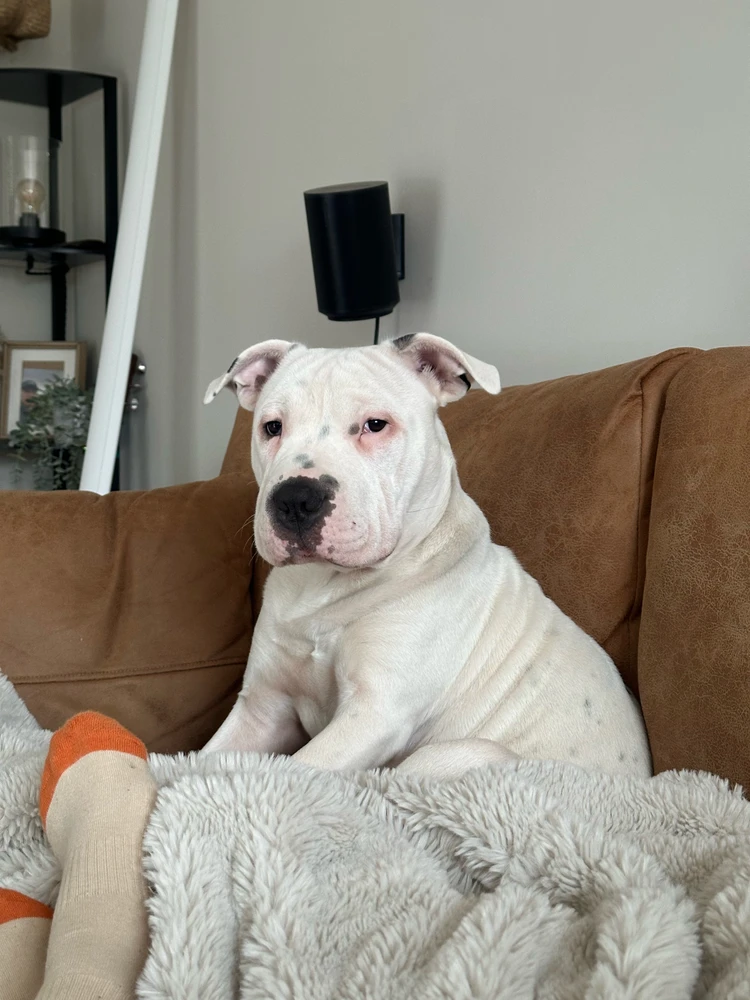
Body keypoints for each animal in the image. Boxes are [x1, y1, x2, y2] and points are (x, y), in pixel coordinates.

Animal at [203, 334, 651, 780]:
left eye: (375, 424)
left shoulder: (373, 716)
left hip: (464, 753)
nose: (295, 499)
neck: (322, 588)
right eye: (272, 427)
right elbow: (203, 761)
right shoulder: (261, 708)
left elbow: (296, 769)